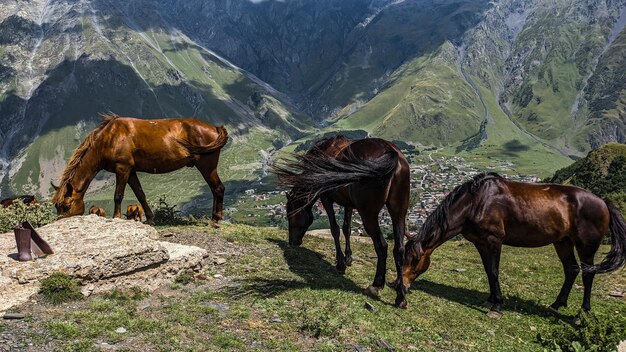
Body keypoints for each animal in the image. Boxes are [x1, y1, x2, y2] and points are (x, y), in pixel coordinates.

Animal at [51, 114, 227, 227]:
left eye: (66, 206)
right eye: (57, 207)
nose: (59, 222)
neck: (109, 138)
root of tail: (215, 128)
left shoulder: (122, 169)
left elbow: (118, 195)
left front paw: (116, 217)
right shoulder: (131, 172)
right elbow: (140, 195)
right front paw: (150, 219)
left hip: (207, 166)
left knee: (218, 188)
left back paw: (216, 220)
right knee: (215, 189)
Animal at [272, 136, 410, 306]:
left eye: (290, 214)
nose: (293, 242)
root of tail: (392, 153)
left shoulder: (326, 198)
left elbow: (335, 229)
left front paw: (340, 264)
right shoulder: (348, 204)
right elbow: (347, 229)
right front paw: (348, 258)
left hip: (368, 214)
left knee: (382, 246)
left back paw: (376, 285)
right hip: (399, 213)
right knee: (399, 249)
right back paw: (400, 296)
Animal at [400, 173, 624, 314]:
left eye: (415, 259)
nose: (402, 285)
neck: (475, 203)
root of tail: (603, 202)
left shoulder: (494, 241)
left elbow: (494, 271)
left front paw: (497, 305)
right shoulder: (481, 243)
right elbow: (488, 271)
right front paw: (490, 300)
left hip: (586, 246)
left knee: (588, 274)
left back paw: (583, 313)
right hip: (563, 242)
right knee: (572, 270)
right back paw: (556, 305)